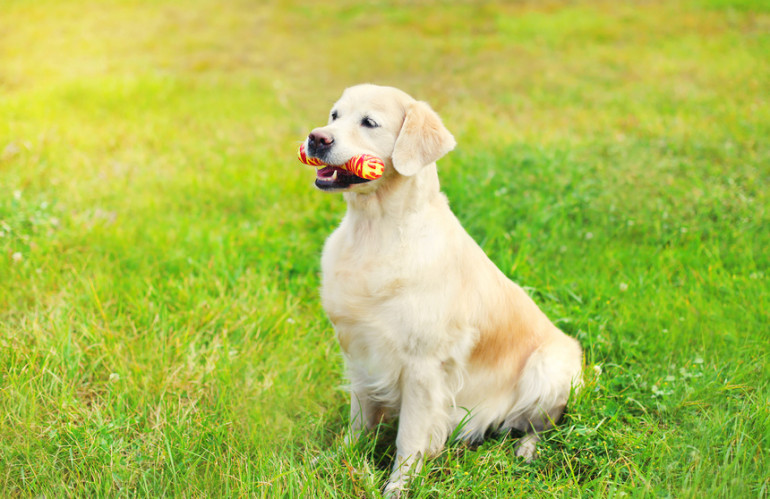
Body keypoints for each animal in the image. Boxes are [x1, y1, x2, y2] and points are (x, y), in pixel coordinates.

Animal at [304, 84, 580, 494]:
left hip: (549, 365)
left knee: (539, 424)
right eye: (334, 115)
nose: (316, 137)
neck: (375, 232)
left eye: (369, 122)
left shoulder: (424, 367)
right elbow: (359, 420)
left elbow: (409, 438)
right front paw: (337, 458)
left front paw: (397, 488)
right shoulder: (359, 351)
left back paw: (526, 451)